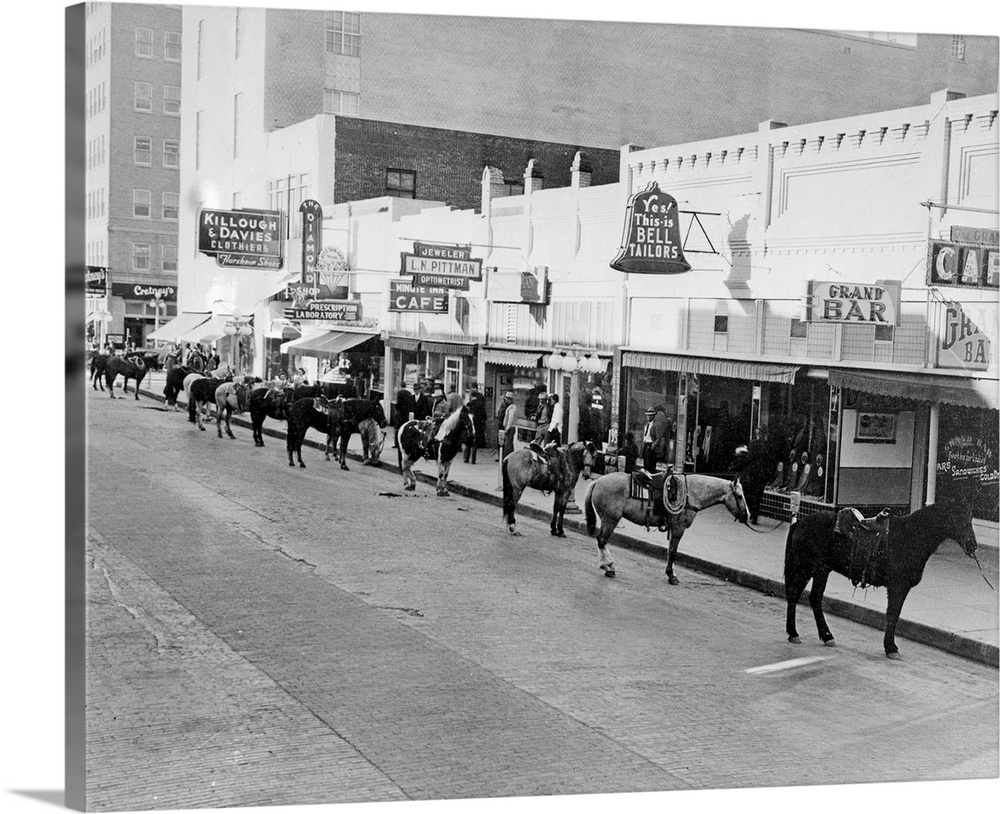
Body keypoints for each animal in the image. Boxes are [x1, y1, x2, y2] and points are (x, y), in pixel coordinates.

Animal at [584, 474, 752, 584]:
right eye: (739, 496)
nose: (747, 516)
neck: (691, 492)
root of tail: (598, 480)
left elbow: (670, 550)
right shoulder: (678, 529)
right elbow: (672, 551)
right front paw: (672, 576)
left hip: (607, 520)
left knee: (600, 540)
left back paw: (606, 566)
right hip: (610, 520)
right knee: (602, 540)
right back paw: (609, 567)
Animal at [780, 498, 976, 664]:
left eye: (970, 518)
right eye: (958, 518)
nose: (972, 545)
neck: (911, 537)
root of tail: (799, 522)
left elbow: (893, 615)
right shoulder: (897, 587)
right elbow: (893, 615)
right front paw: (891, 648)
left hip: (817, 570)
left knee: (806, 596)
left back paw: (818, 635)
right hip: (811, 568)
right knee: (802, 595)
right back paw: (801, 633)